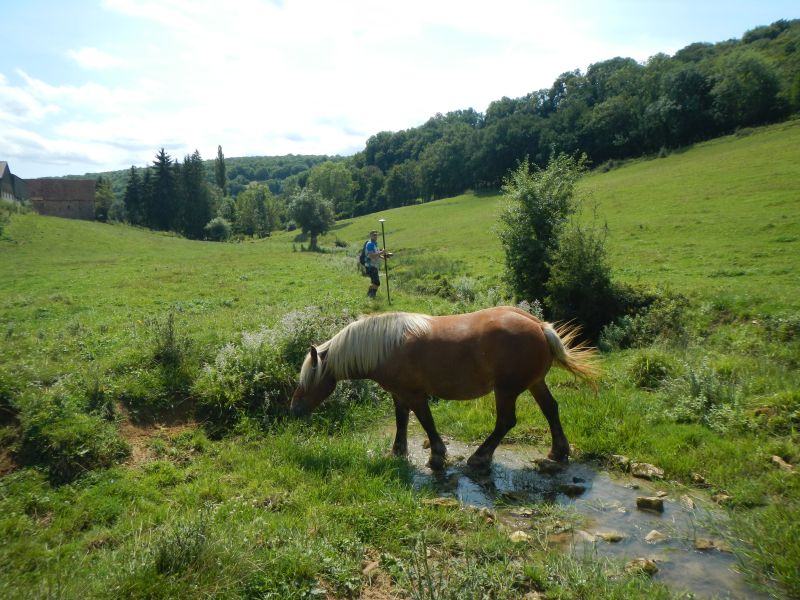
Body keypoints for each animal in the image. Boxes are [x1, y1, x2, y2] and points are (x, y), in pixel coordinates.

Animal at [290, 308, 596, 472]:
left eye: (307, 378)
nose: (293, 409)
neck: (385, 346)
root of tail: (539, 325)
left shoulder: (415, 395)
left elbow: (426, 422)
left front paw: (437, 455)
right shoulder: (399, 394)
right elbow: (401, 422)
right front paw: (397, 452)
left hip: (506, 390)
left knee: (506, 421)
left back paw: (480, 457)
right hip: (534, 384)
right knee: (551, 409)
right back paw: (558, 451)